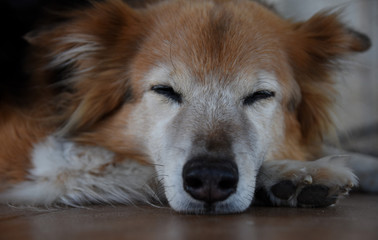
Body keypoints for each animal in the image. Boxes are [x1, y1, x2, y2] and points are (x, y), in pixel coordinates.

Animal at [0, 0, 374, 214]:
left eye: (260, 95)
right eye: (164, 90)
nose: (209, 179)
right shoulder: (33, 155)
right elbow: (139, 165)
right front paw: (293, 172)